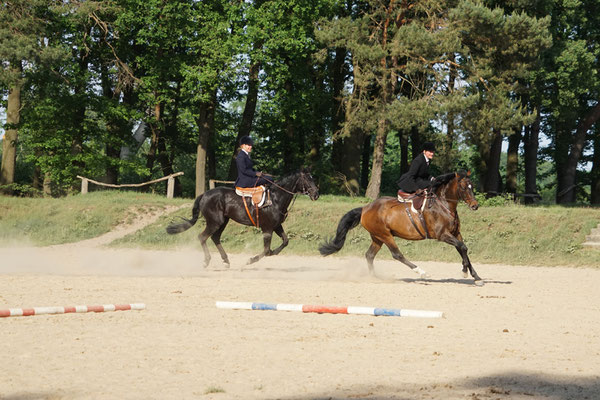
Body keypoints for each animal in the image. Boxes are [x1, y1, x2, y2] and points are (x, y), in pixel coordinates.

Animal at [166, 167, 318, 268]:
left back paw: (226, 260)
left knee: (215, 238)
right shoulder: (267, 228)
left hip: (223, 222)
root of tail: (205, 194)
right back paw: (207, 261)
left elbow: (285, 242)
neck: (275, 198)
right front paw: (250, 260)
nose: (316, 194)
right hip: (215, 222)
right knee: (203, 237)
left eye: (313, 178)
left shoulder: (276, 226)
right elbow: (266, 251)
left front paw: (274, 252)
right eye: (306, 179)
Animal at [318, 171, 482, 284]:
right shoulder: (442, 235)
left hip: (377, 237)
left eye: (472, 186)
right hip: (385, 235)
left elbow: (463, 249)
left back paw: (374, 277)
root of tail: (365, 208)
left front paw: (475, 276)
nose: (475, 206)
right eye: (463, 187)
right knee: (397, 254)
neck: (444, 205)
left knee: (369, 255)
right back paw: (421, 272)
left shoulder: (456, 233)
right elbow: (463, 247)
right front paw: (465, 272)